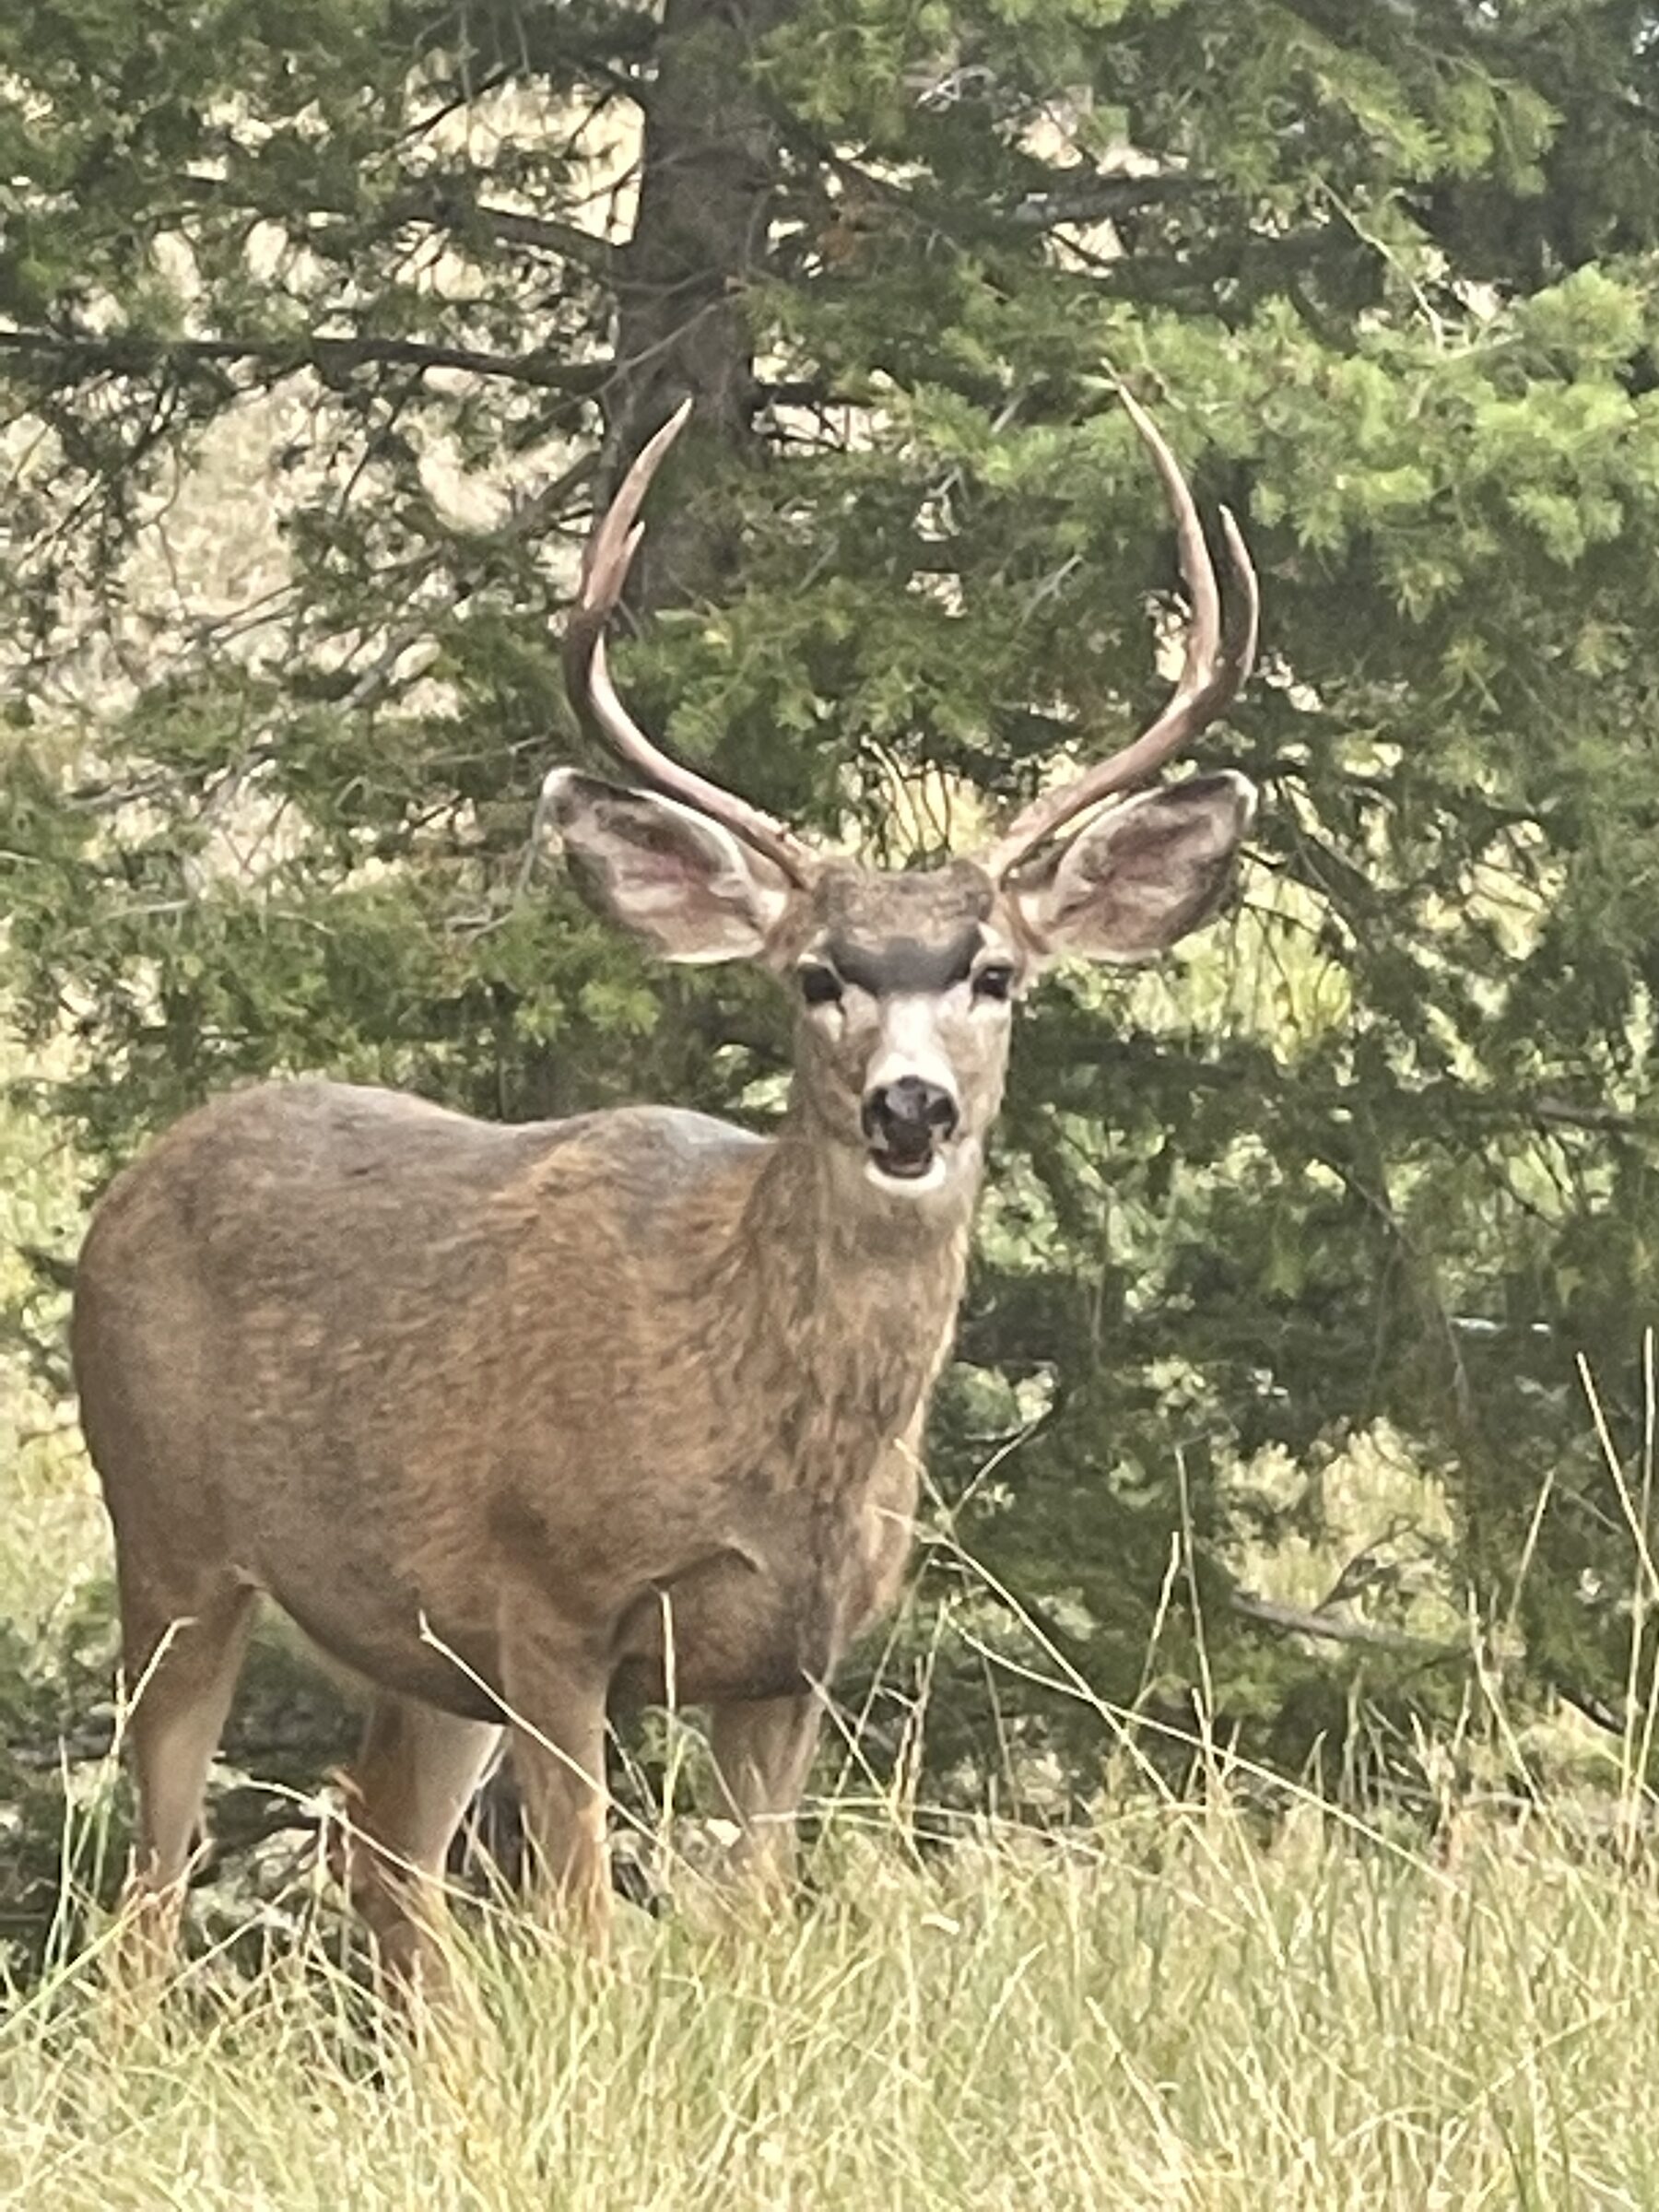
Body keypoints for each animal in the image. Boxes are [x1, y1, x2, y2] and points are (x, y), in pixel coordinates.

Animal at [72, 389, 1258, 1983]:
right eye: (817, 975)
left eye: (996, 973)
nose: (910, 1105)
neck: (772, 1432)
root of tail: (131, 1187)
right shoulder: (552, 1600)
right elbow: (581, 1919)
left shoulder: (793, 1662)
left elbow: (755, 1917)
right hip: (171, 1533)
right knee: (151, 1876)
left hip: (413, 1636)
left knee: (382, 1848)